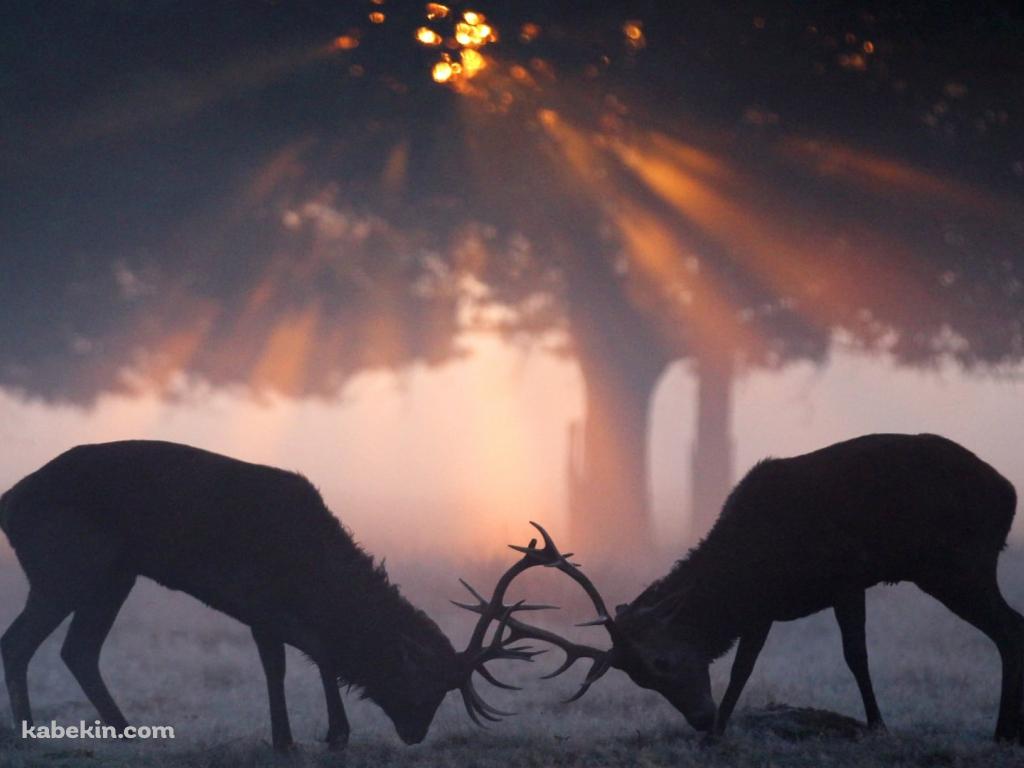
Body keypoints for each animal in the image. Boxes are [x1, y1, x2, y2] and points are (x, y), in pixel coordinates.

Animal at [0, 440, 568, 749]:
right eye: (424, 682)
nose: (414, 734)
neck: (312, 573)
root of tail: (8, 504)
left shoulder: (269, 610)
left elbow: (306, 657)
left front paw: (307, 736)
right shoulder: (259, 598)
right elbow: (295, 660)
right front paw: (315, 737)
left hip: (114, 574)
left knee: (78, 650)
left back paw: (125, 733)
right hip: (65, 565)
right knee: (20, 641)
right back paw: (28, 734)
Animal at [474, 435, 1024, 743]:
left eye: (663, 662)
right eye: (641, 681)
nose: (699, 717)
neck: (750, 567)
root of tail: (1008, 492)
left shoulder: (846, 579)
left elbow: (855, 656)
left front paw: (878, 725)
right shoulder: (764, 606)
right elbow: (745, 665)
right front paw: (719, 733)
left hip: (957, 565)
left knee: (1010, 628)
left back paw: (1002, 733)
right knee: (1010, 628)